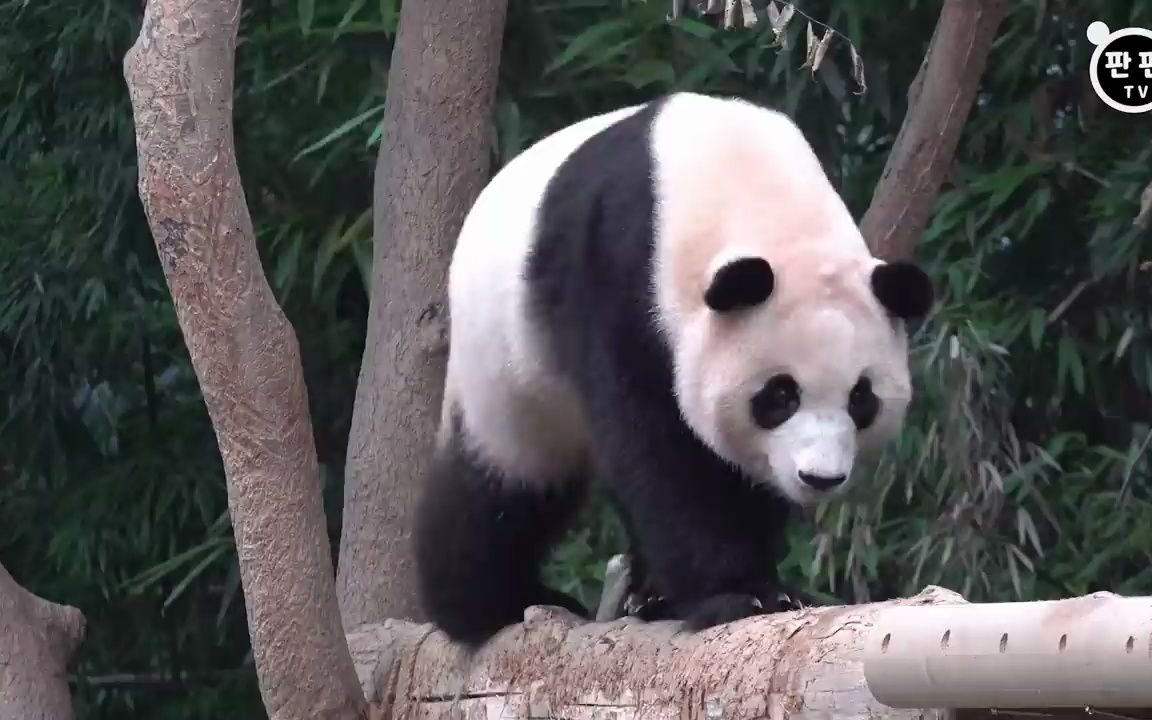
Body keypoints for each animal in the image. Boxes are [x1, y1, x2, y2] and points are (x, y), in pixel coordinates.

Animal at [413, 91, 934, 647]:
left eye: (861, 398)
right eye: (779, 396)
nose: (819, 477)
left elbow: (737, 474)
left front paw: (752, 585)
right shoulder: (617, 274)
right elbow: (654, 448)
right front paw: (735, 595)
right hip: (503, 366)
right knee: (504, 486)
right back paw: (487, 604)